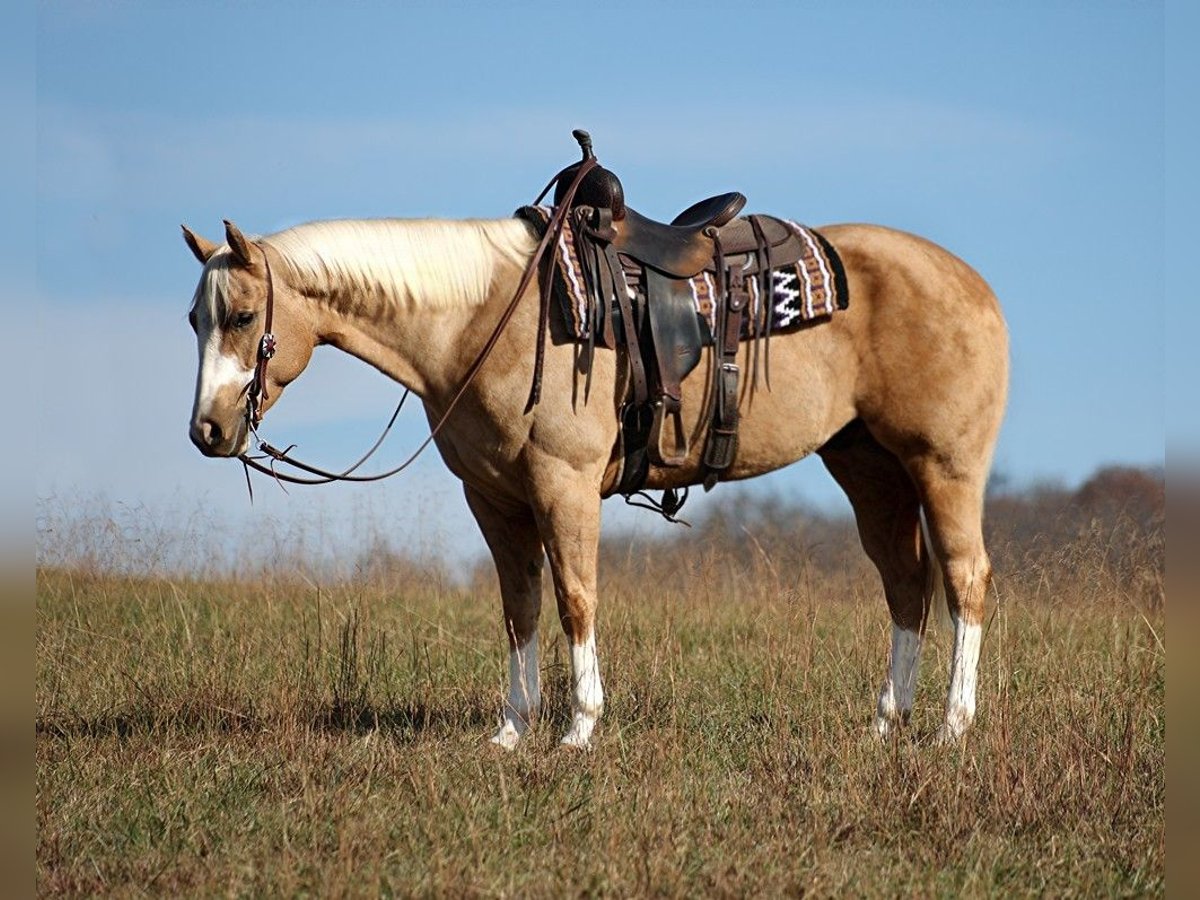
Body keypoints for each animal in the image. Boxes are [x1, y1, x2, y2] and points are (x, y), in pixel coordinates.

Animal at [182, 207, 1008, 748]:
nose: (207, 431)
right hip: (868, 468)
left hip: (943, 467)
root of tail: (975, 286)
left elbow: (576, 598)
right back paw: (886, 723)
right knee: (906, 585)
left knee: (964, 579)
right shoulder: (495, 499)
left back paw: (951, 727)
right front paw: (511, 732)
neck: (485, 318)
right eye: (194, 318)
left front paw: (579, 728)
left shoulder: (564, 483)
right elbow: (519, 608)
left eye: (244, 315)